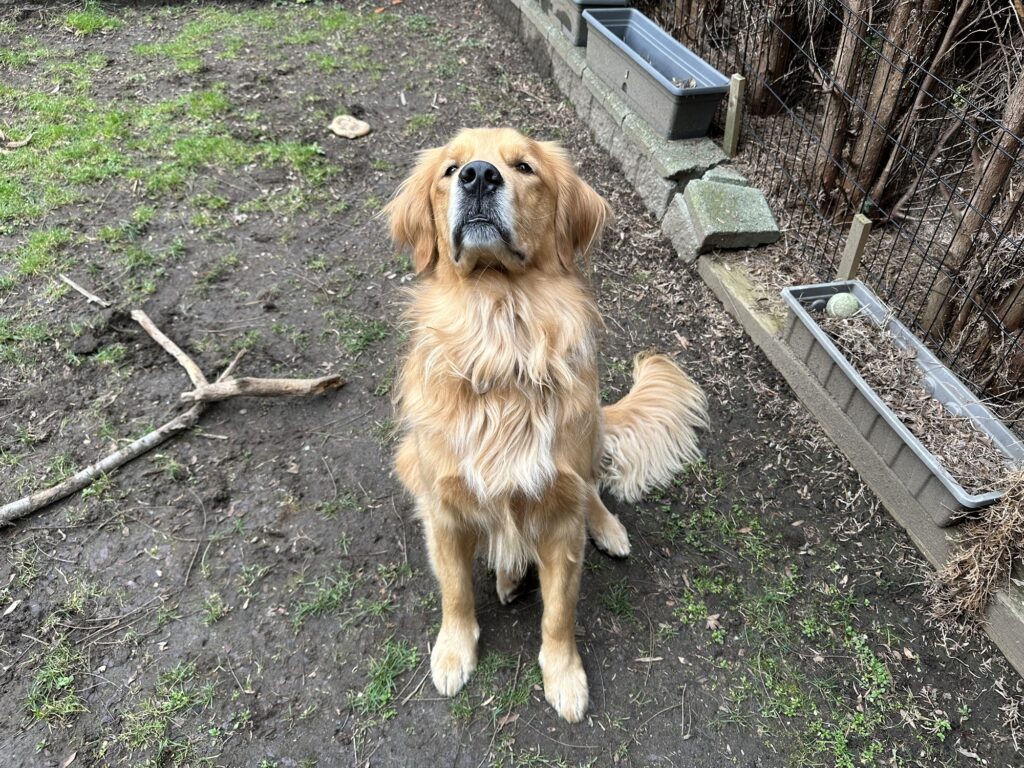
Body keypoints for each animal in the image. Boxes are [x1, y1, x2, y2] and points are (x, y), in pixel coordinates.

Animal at [385, 129, 704, 724]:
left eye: (525, 167)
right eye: (450, 170)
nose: (479, 176)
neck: (501, 334)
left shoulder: (560, 518)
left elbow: (560, 610)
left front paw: (564, 677)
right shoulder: (443, 507)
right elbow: (455, 591)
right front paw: (453, 652)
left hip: (591, 428)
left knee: (592, 490)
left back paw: (605, 528)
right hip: (411, 460)